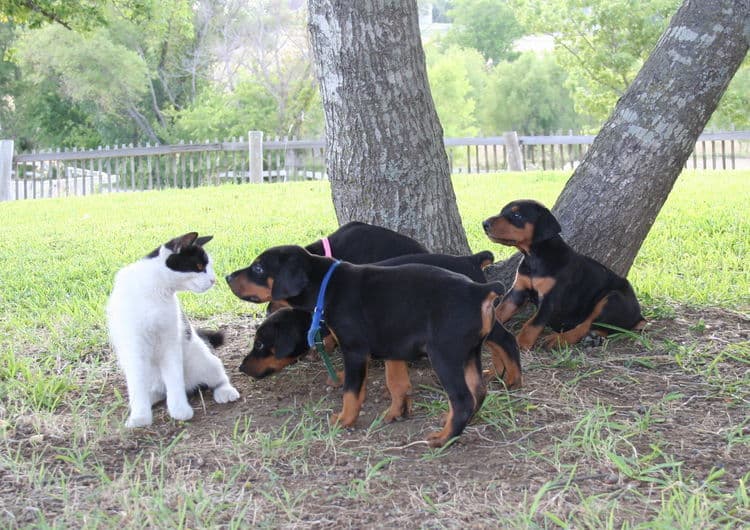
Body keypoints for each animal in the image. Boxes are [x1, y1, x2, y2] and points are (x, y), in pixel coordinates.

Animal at [106, 231, 239, 424]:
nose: (213, 280)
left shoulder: (170, 342)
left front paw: (179, 410)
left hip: (205, 361)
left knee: (219, 377)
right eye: (199, 266)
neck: (155, 289)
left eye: (209, 267)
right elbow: (137, 386)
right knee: (156, 391)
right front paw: (140, 416)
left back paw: (225, 391)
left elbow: (174, 378)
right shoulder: (134, 348)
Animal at [229, 245, 508, 444]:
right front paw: (396, 413)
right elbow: (396, 384)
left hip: (444, 356)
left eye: (258, 268)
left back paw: (444, 438)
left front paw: (344, 420)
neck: (326, 285)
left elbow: (351, 392)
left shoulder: (354, 350)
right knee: (478, 391)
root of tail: (479, 290)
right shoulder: (393, 346)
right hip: (470, 352)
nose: (227, 276)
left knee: (462, 399)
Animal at [484, 199, 648, 350]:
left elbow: (533, 323)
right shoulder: (517, 291)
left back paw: (558, 340)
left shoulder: (550, 300)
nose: (484, 223)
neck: (535, 257)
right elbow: (500, 310)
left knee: (586, 325)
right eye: (502, 211)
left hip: (612, 298)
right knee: (602, 328)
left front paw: (521, 344)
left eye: (517, 215)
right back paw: (593, 339)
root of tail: (638, 316)